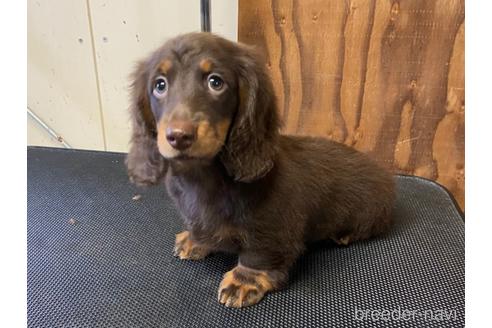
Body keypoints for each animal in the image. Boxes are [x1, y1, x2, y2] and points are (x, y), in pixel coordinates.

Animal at [127, 32, 396, 308]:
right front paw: (194, 239)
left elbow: (258, 254)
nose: (179, 136)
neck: (203, 177)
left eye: (216, 82)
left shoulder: (271, 228)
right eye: (159, 85)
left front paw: (244, 280)